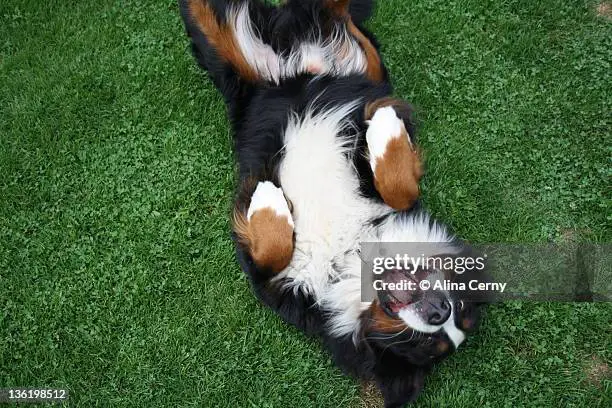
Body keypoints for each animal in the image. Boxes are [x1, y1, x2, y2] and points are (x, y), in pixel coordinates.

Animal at [177, 1, 488, 406]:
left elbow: (272, 250)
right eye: (460, 303)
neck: (350, 253)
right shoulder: (365, 180)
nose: (440, 310)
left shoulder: (270, 281)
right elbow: (399, 187)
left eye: (423, 345)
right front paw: (385, 125)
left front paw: (267, 197)